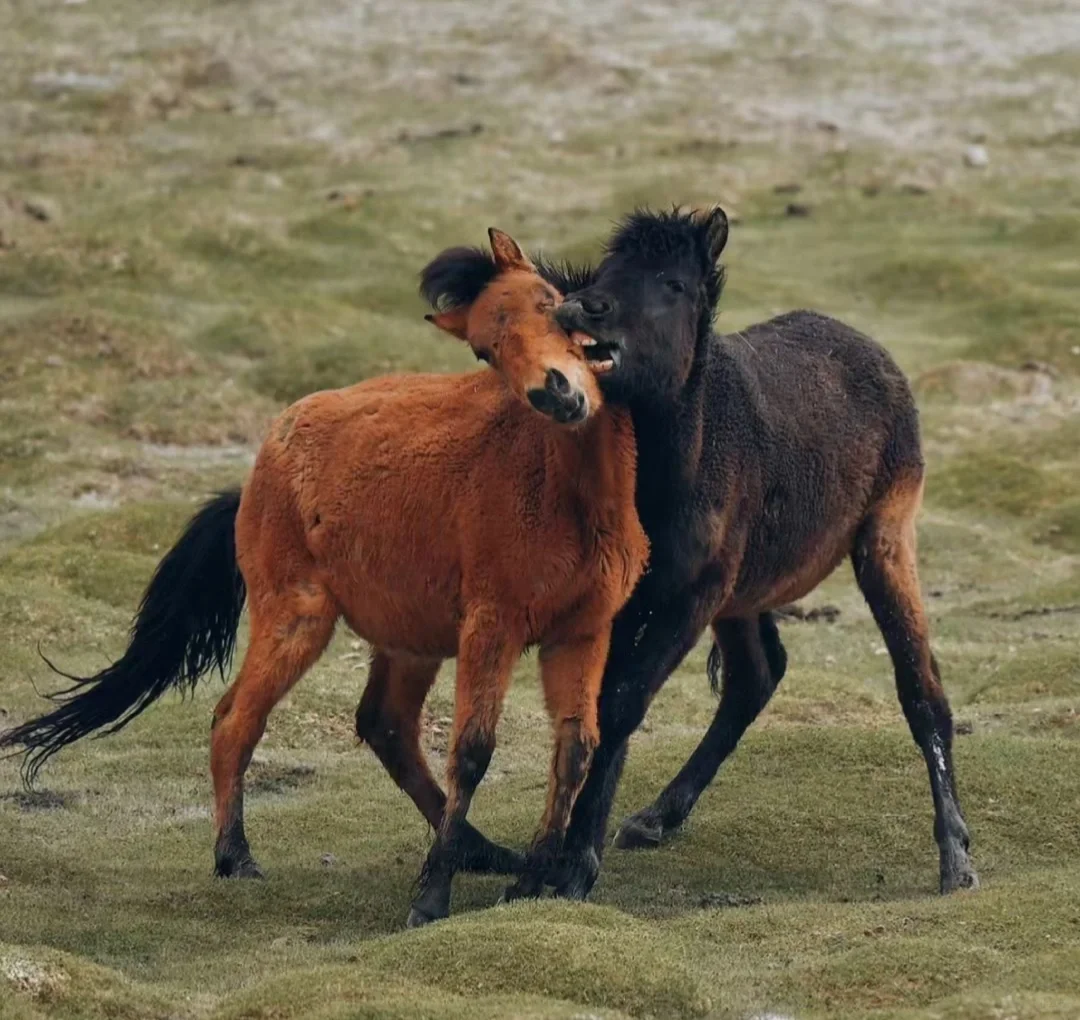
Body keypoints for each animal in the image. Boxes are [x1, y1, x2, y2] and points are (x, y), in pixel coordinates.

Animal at [2, 229, 648, 924]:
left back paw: (483, 850)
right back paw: (235, 856)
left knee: (386, 725)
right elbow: (473, 751)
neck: (565, 491)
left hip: (410, 636)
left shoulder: (580, 632)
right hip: (298, 617)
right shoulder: (492, 627)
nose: (555, 393)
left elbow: (576, 745)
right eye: (485, 350)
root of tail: (263, 462)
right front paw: (432, 899)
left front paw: (532, 879)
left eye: (551, 303)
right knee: (235, 720)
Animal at [548, 207, 980, 898]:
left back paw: (956, 856)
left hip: (884, 540)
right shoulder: (621, 595)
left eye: (672, 284)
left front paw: (570, 868)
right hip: (746, 589)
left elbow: (621, 704)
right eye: (607, 270)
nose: (585, 308)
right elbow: (596, 705)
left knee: (922, 692)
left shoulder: (690, 597)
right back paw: (657, 816)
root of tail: (872, 350)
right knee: (757, 676)